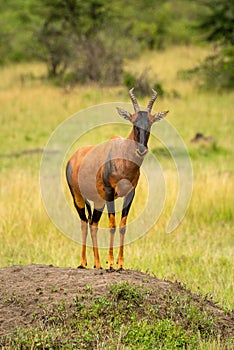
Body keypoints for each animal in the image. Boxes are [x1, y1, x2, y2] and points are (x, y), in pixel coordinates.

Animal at [66, 88, 168, 270]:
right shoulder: (109, 192)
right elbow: (112, 225)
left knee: (93, 224)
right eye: (134, 123)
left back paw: (98, 264)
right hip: (78, 197)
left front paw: (120, 263)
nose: (141, 150)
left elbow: (122, 226)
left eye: (150, 123)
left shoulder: (130, 194)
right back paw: (83, 262)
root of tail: (74, 157)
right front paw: (112, 263)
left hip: (98, 201)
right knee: (84, 223)